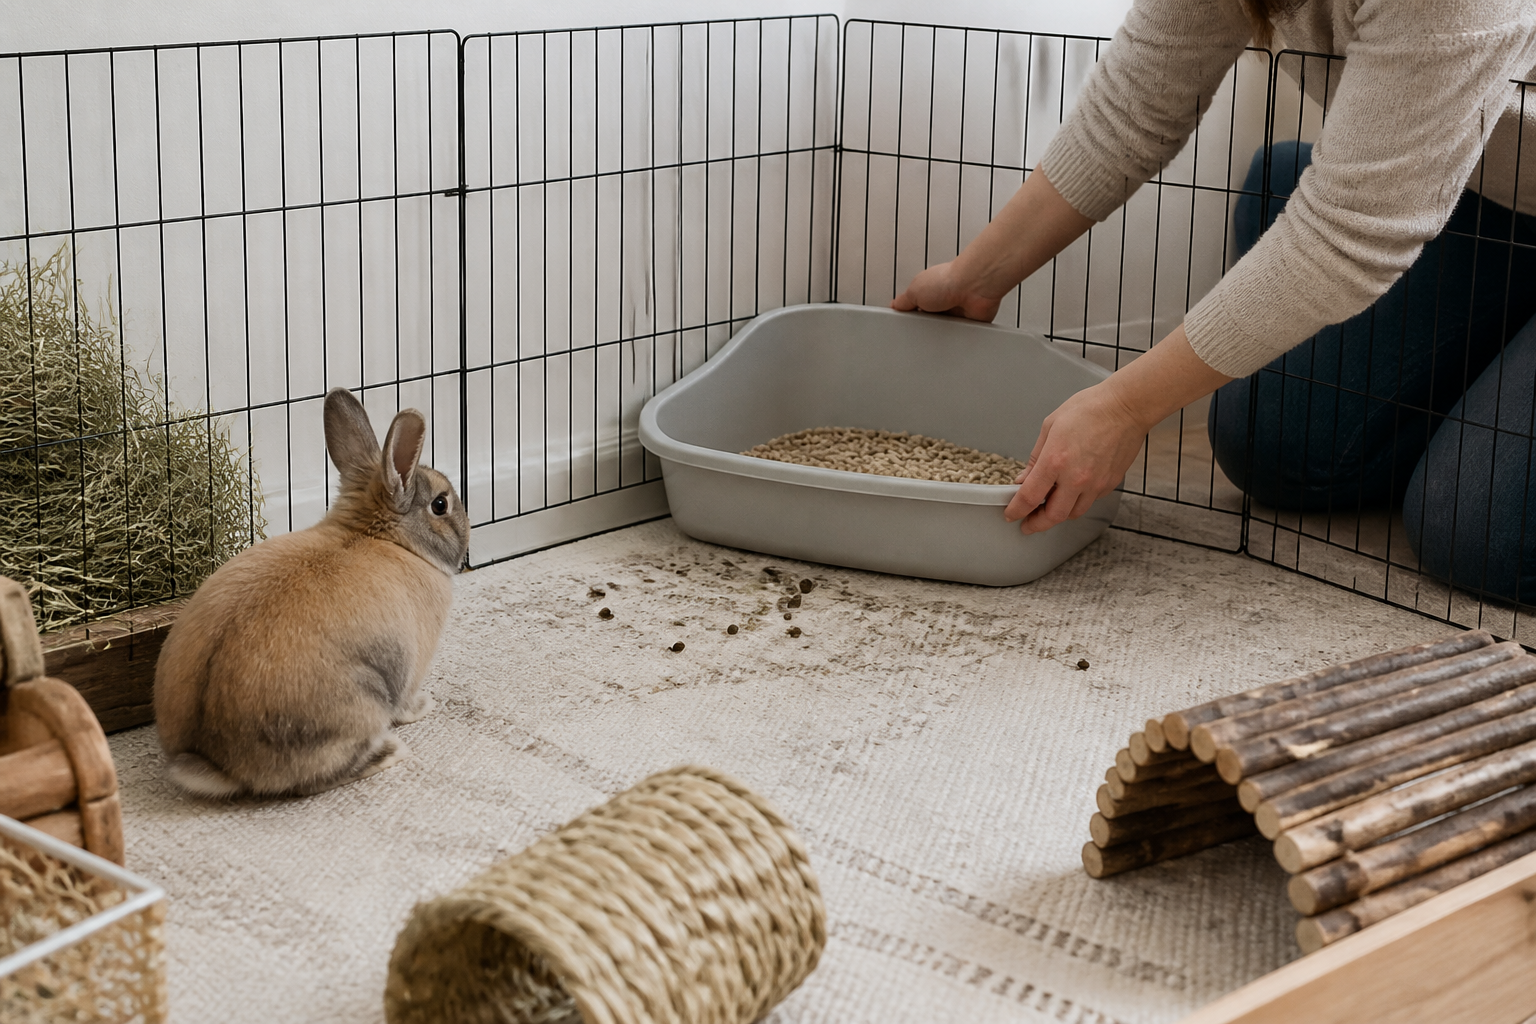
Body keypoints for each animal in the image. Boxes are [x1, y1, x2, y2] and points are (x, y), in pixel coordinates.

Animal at [154, 387, 470, 798]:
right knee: (321, 777)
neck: (379, 536)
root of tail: (213, 760)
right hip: (362, 702)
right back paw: (388, 753)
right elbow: (406, 704)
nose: (468, 531)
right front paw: (424, 706)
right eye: (440, 505)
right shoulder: (411, 665)